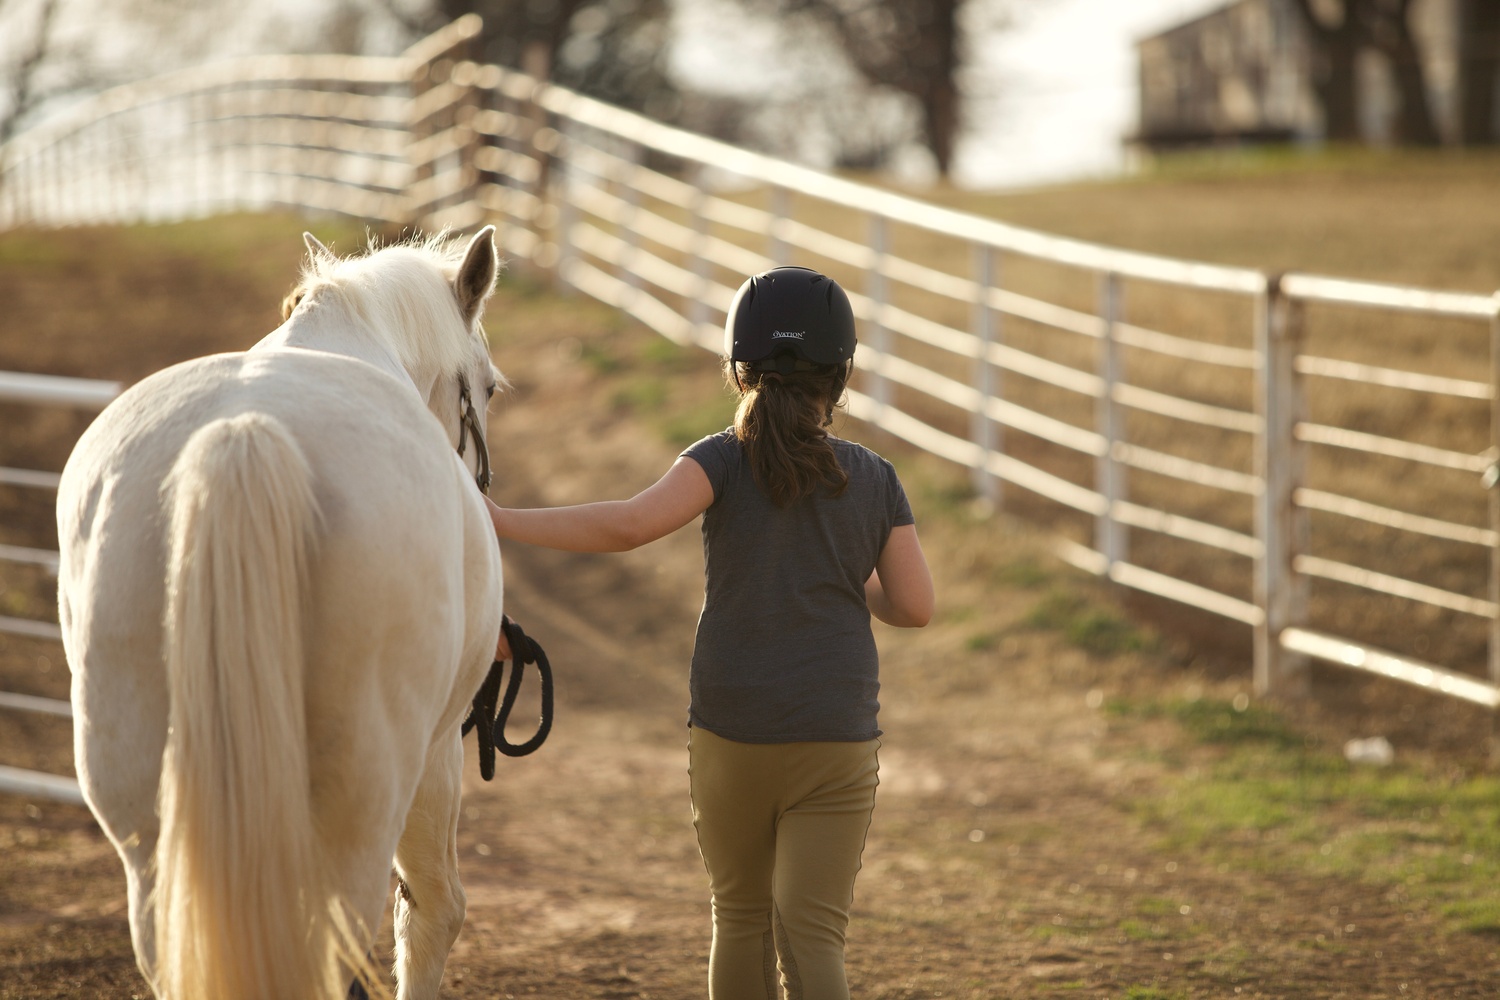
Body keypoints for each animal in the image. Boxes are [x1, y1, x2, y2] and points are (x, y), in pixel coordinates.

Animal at [55, 226, 507, 1000]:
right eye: (488, 387)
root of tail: (243, 433)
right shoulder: (439, 749)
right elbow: (430, 912)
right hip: (363, 802)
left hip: (143, 817)